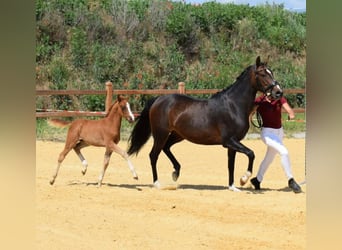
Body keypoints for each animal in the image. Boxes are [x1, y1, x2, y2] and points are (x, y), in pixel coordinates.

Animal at [127, 56, 282, 191]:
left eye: (271, 72)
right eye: (262, 74)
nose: (278, 92)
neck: (233, 105)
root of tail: (158, 100)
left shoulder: (233, 143)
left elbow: (231, 165)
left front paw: (233, 187)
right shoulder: (229, 141)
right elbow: (251, 154)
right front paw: (244, 179)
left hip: (178, 135)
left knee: (166, 148)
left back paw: (176, 172)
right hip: (160, 134)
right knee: (154, 155)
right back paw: (157, 183)